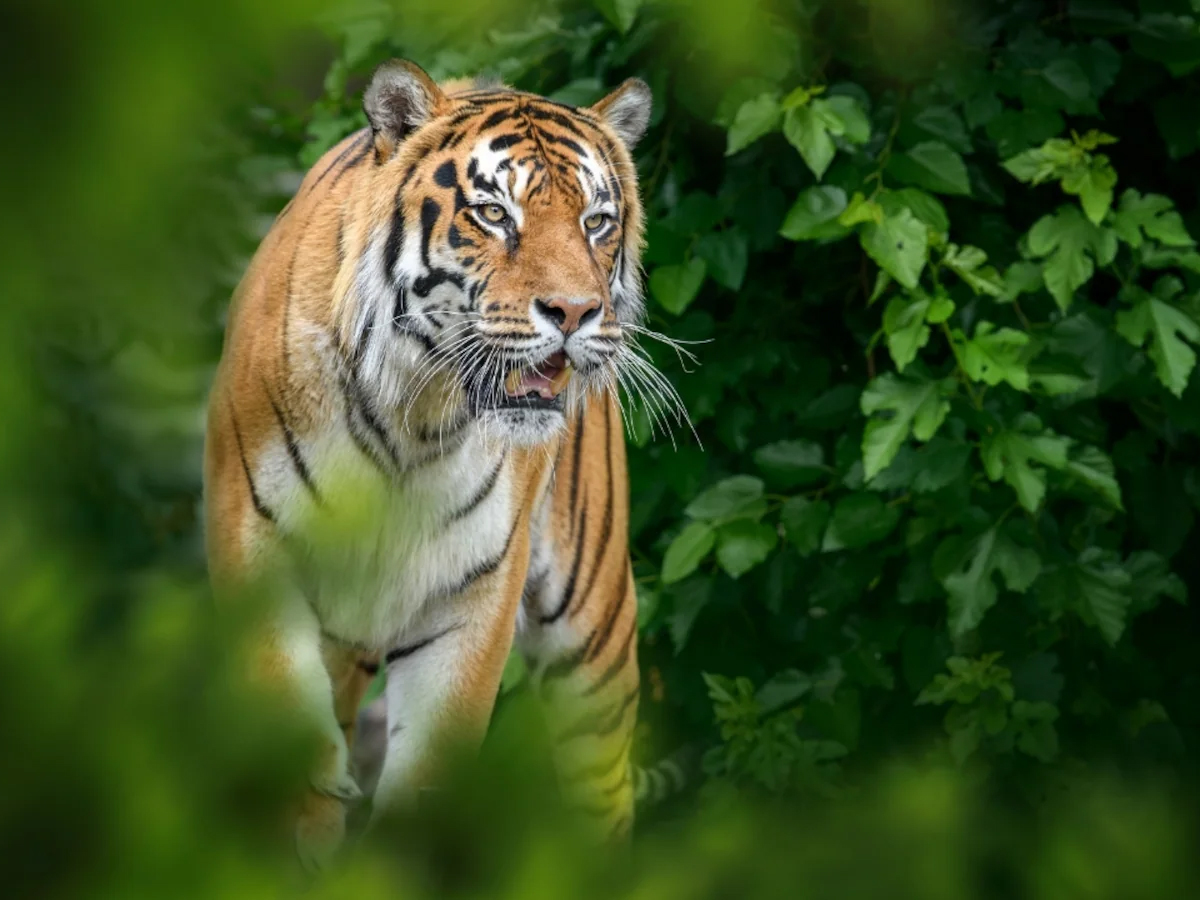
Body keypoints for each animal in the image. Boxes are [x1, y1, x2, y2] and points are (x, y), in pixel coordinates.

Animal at [203, 59, 661, 869]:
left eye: (596, 222)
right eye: (494, 214)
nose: (576, 312)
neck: (412, 419)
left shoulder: (474, 593)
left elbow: (426, 776)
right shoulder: (258, 554)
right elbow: (297, 759)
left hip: (594, 633)